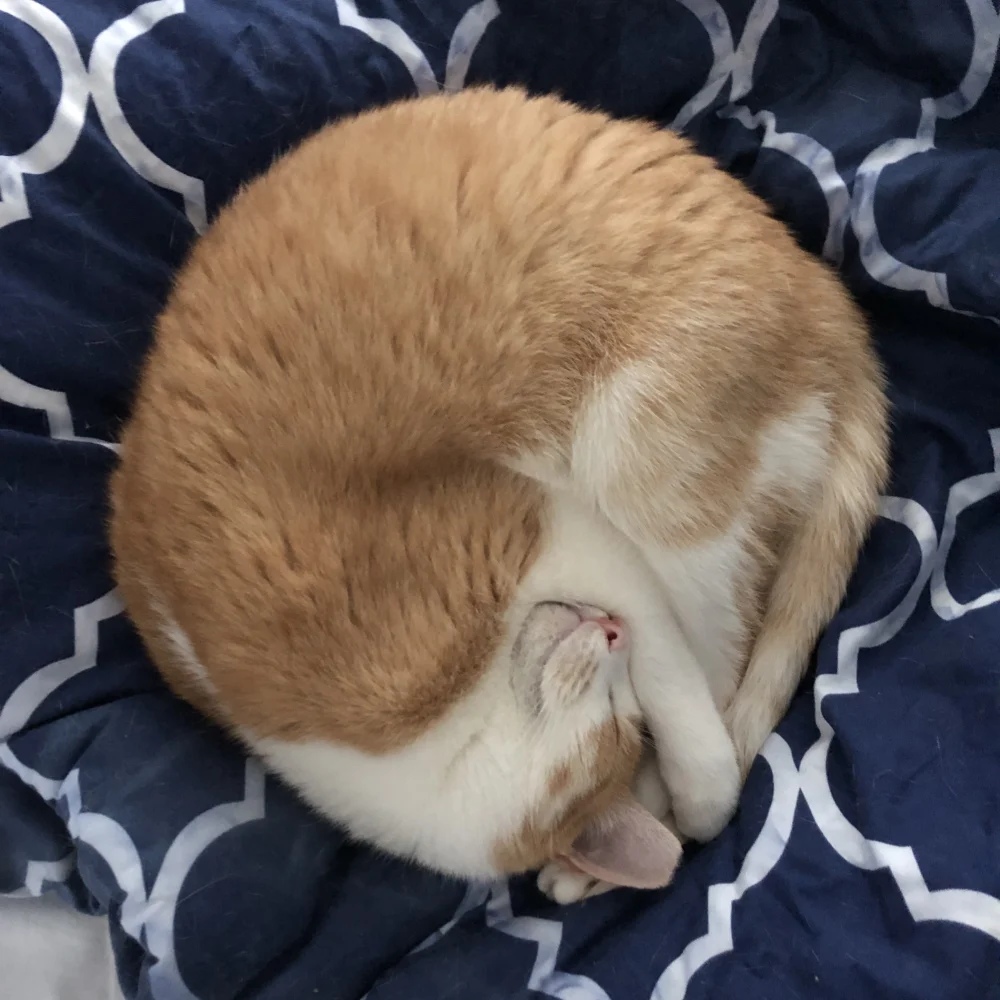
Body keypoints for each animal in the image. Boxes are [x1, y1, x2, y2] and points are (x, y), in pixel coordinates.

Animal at [109, 84, 892, 900]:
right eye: (621, 721)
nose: (608, 633)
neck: (441, 738)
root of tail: (823, 288)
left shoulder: (561, 533)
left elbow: (682, 695)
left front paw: (692, 800)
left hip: (645, 456)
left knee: (726, 659)